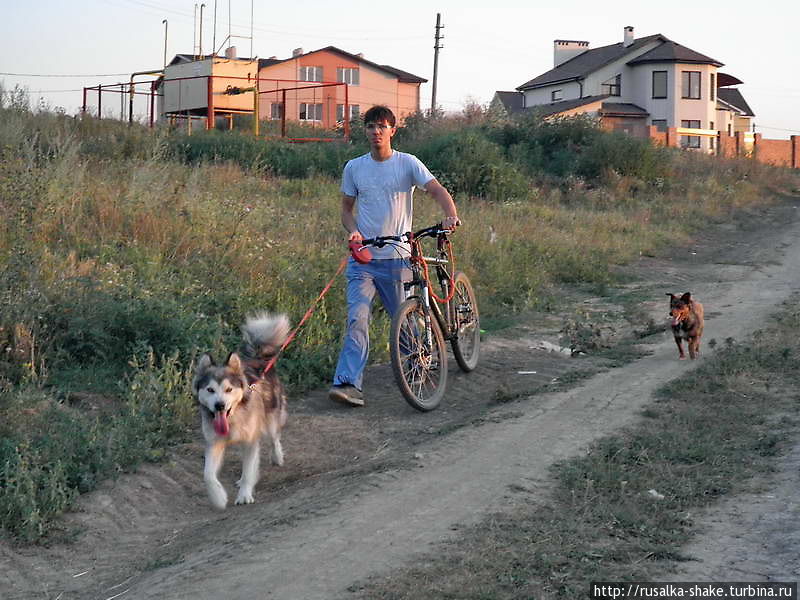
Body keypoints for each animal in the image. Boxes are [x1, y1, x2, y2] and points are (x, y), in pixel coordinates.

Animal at [191, 312, 290, 508]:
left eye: (229, 389)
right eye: (210, 390)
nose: (220, 405)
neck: (232, 418)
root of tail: (259, 358)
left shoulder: (251, 441)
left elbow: (248, 471)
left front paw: (244, 495)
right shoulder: (214, 443)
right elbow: (208, 476)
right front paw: (219, 497)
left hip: (270, 419)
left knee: (274, 438)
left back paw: (277, 457)